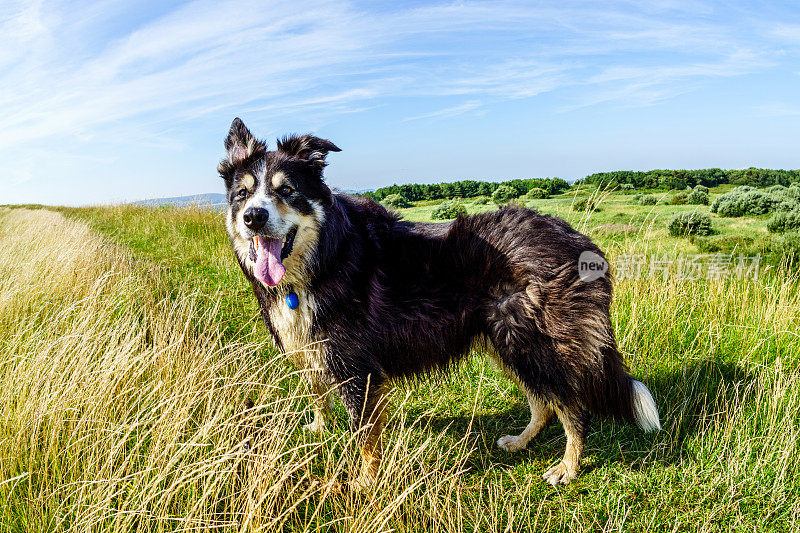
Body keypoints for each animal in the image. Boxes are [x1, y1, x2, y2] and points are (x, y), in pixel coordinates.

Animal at [216, 117, 660, 486]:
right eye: (242, 194)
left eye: (287, 190)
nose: (253, 217)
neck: (324, 256)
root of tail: (579, 240)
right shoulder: (313, 350)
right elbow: (316, 393)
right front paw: (318, 428)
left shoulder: (357, 369)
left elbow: (364, 436)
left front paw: (365, 482)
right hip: (505, 340)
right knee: (544, 403)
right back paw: (521, 441)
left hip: (535, 343)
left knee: (572, 406)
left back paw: (568, 467)